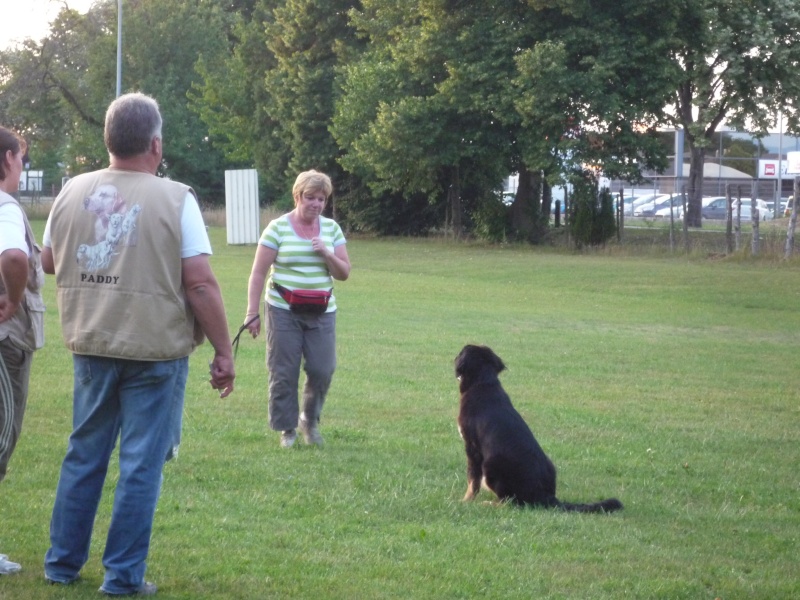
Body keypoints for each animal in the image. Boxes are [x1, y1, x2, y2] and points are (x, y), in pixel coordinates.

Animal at [454, 344, 620, 512]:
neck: (483, 383)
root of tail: (546, 496)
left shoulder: (472, 447)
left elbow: (472, 479)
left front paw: (465, 500)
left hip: (490, 465)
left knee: (511, 501)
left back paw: (489, 503)